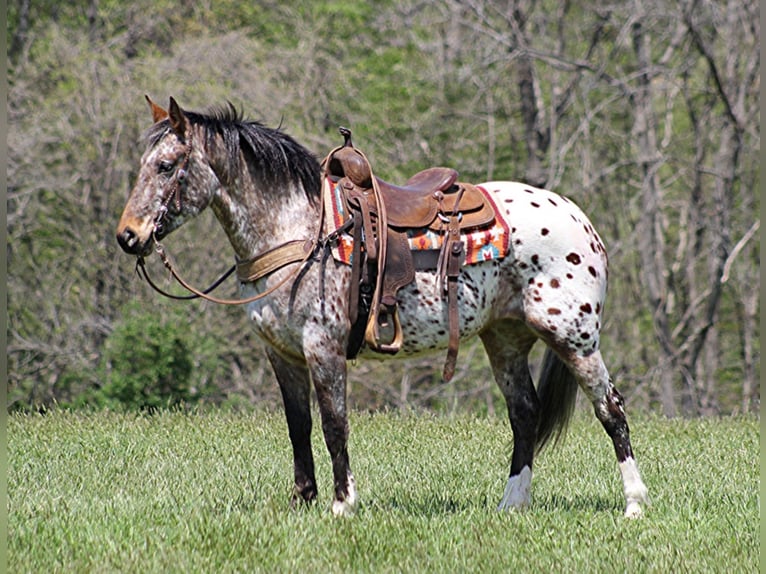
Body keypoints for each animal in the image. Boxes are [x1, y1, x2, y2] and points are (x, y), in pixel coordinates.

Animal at [117, 97, 652, 520]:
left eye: (166, 166)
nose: (128, 236)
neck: (301, 231)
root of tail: (581, 220)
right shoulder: (282, 355)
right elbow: (298, 427)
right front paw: (302, 502)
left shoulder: (323, 348)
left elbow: (333, 424)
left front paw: (342, 505)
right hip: (504, 339)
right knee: (524, 414)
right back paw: (511, 504)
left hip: (574, 338)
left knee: (611, 409)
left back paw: (634, 504)